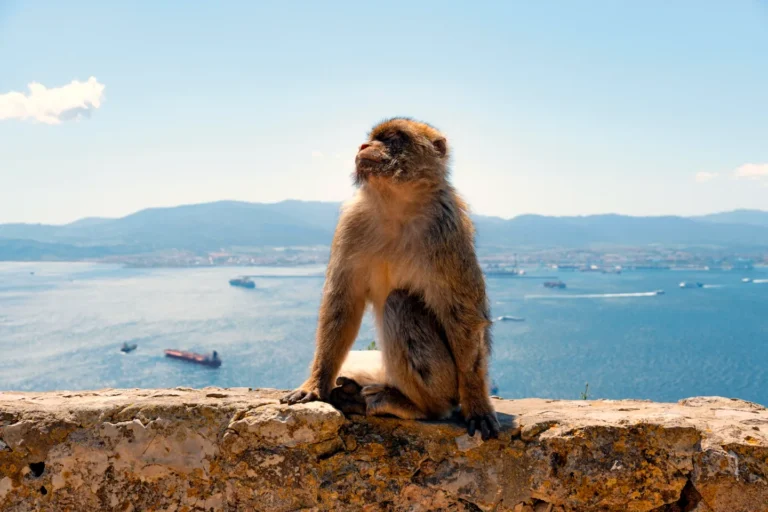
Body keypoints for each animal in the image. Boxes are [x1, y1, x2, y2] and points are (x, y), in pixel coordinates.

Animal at [280, 117, 500, 440]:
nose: (363, 146)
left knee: (401, 302)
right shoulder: (351, 224)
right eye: (372, 138)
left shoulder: (447, 231)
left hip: (447, 384)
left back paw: (415, 406)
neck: (396, 205)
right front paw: (316, 384)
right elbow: (341, 304)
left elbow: (464, 316)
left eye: (393, 139)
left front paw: (477, 402)